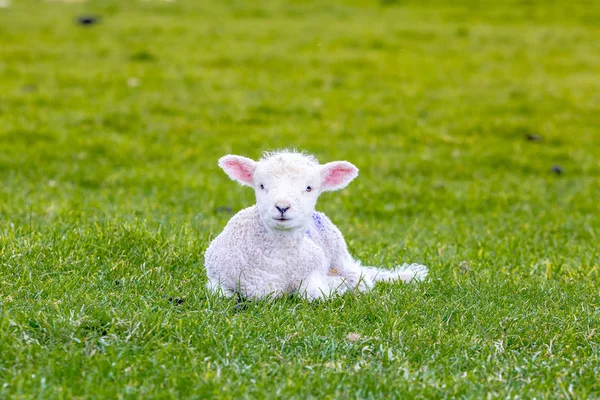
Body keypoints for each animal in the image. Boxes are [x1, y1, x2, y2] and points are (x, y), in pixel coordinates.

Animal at [204, 150, 428, 300]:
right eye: (261, 186)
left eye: (309, 188)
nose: (282, 207)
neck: (276, 260)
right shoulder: (216, 279)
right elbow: (222, 295)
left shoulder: (313, 271)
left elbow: (314, 293)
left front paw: (336, 287)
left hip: (339, 252)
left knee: (361, 275)